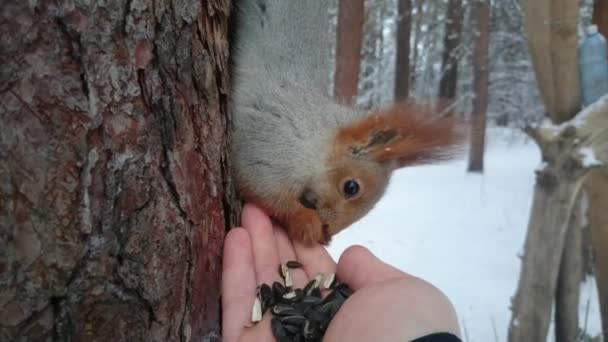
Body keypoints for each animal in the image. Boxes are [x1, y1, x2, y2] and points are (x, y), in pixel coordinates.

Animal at [229, 0, 460, 246]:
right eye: (351, 187)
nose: (329, 232)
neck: (316, 139)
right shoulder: (269, 142)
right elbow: (261, 187)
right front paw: (306, 223)